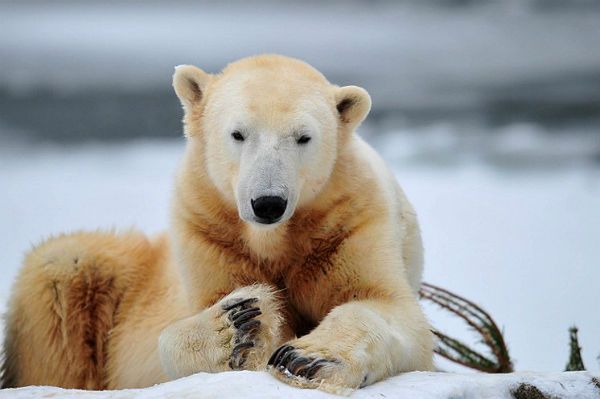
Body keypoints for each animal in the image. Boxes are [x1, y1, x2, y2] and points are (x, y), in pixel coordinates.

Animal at [0, 54, 432, 396]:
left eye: (303, 137)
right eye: (238, 133)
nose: (268, 203)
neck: (273, 238)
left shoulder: (348, 223)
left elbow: (383, 304)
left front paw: (306, 359)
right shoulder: (207, 231)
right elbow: (193, 319)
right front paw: (239, 325)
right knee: (61, 267)